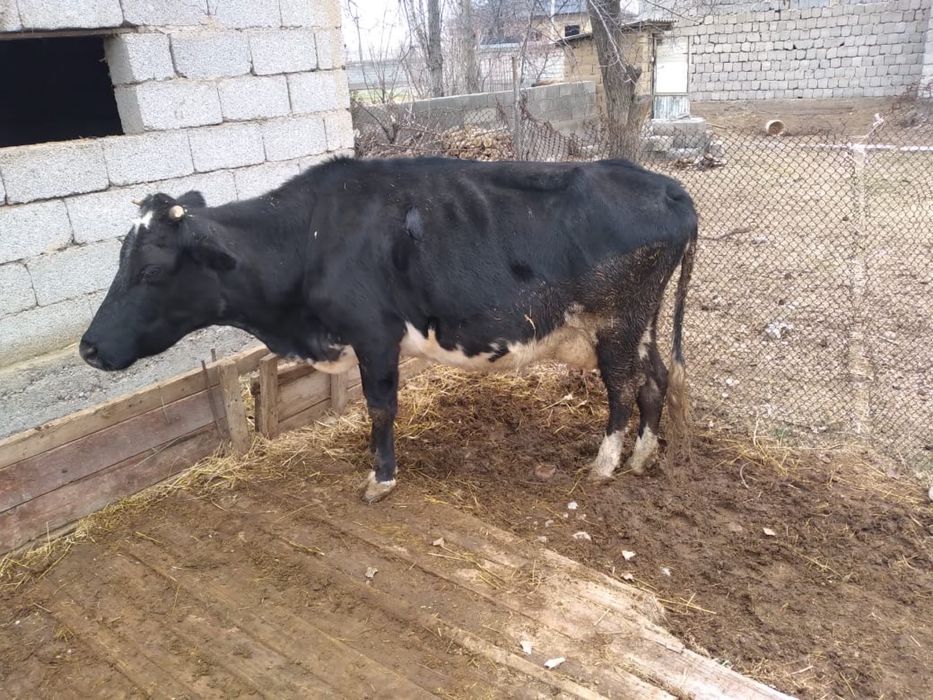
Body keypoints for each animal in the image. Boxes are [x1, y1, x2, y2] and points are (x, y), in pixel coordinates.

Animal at [80, 156, 697, 502]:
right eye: (119, 259)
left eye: (151, 270)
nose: (89, 348)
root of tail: (665, 186)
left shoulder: (373, 335)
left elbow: (380, 407)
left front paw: (380, 477)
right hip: (638, 324)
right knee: (654, 379)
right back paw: (643, 457)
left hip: (616, 323)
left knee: (623, 389)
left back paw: (605, 464)